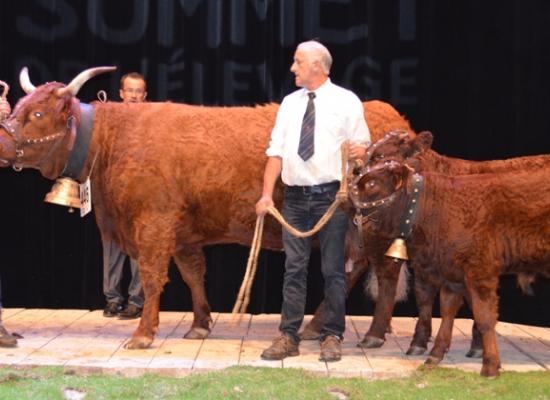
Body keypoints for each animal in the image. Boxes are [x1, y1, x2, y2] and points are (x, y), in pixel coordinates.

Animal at [0, 67, 414, 348]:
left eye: (37, 115)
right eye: (19, 106)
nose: (3, 141)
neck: (113, 140)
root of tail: (393, 116)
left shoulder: (154, 224)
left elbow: (152, 277)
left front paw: (143, 334)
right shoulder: (183, 232)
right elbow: (193, 275)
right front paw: (199, 324)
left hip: (379, 226)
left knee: (384, 274)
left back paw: (374, 333)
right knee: (353, 269)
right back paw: (315, 327)